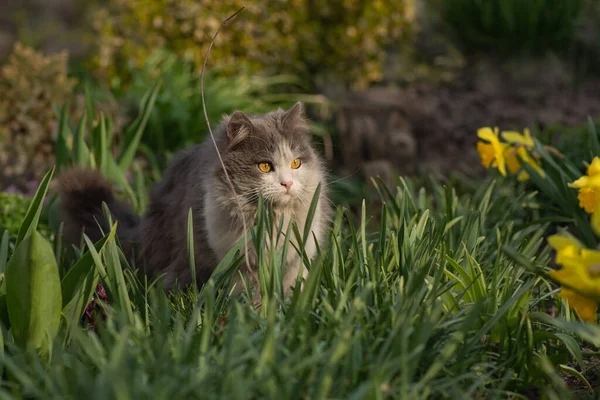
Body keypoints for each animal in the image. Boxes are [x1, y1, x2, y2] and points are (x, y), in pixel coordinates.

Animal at [58, 102, 332, 296]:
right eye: (265, 166)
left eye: (296, 163)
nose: (287, 183)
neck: (272, 221)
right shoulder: (236, 260)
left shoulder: (298, 257)